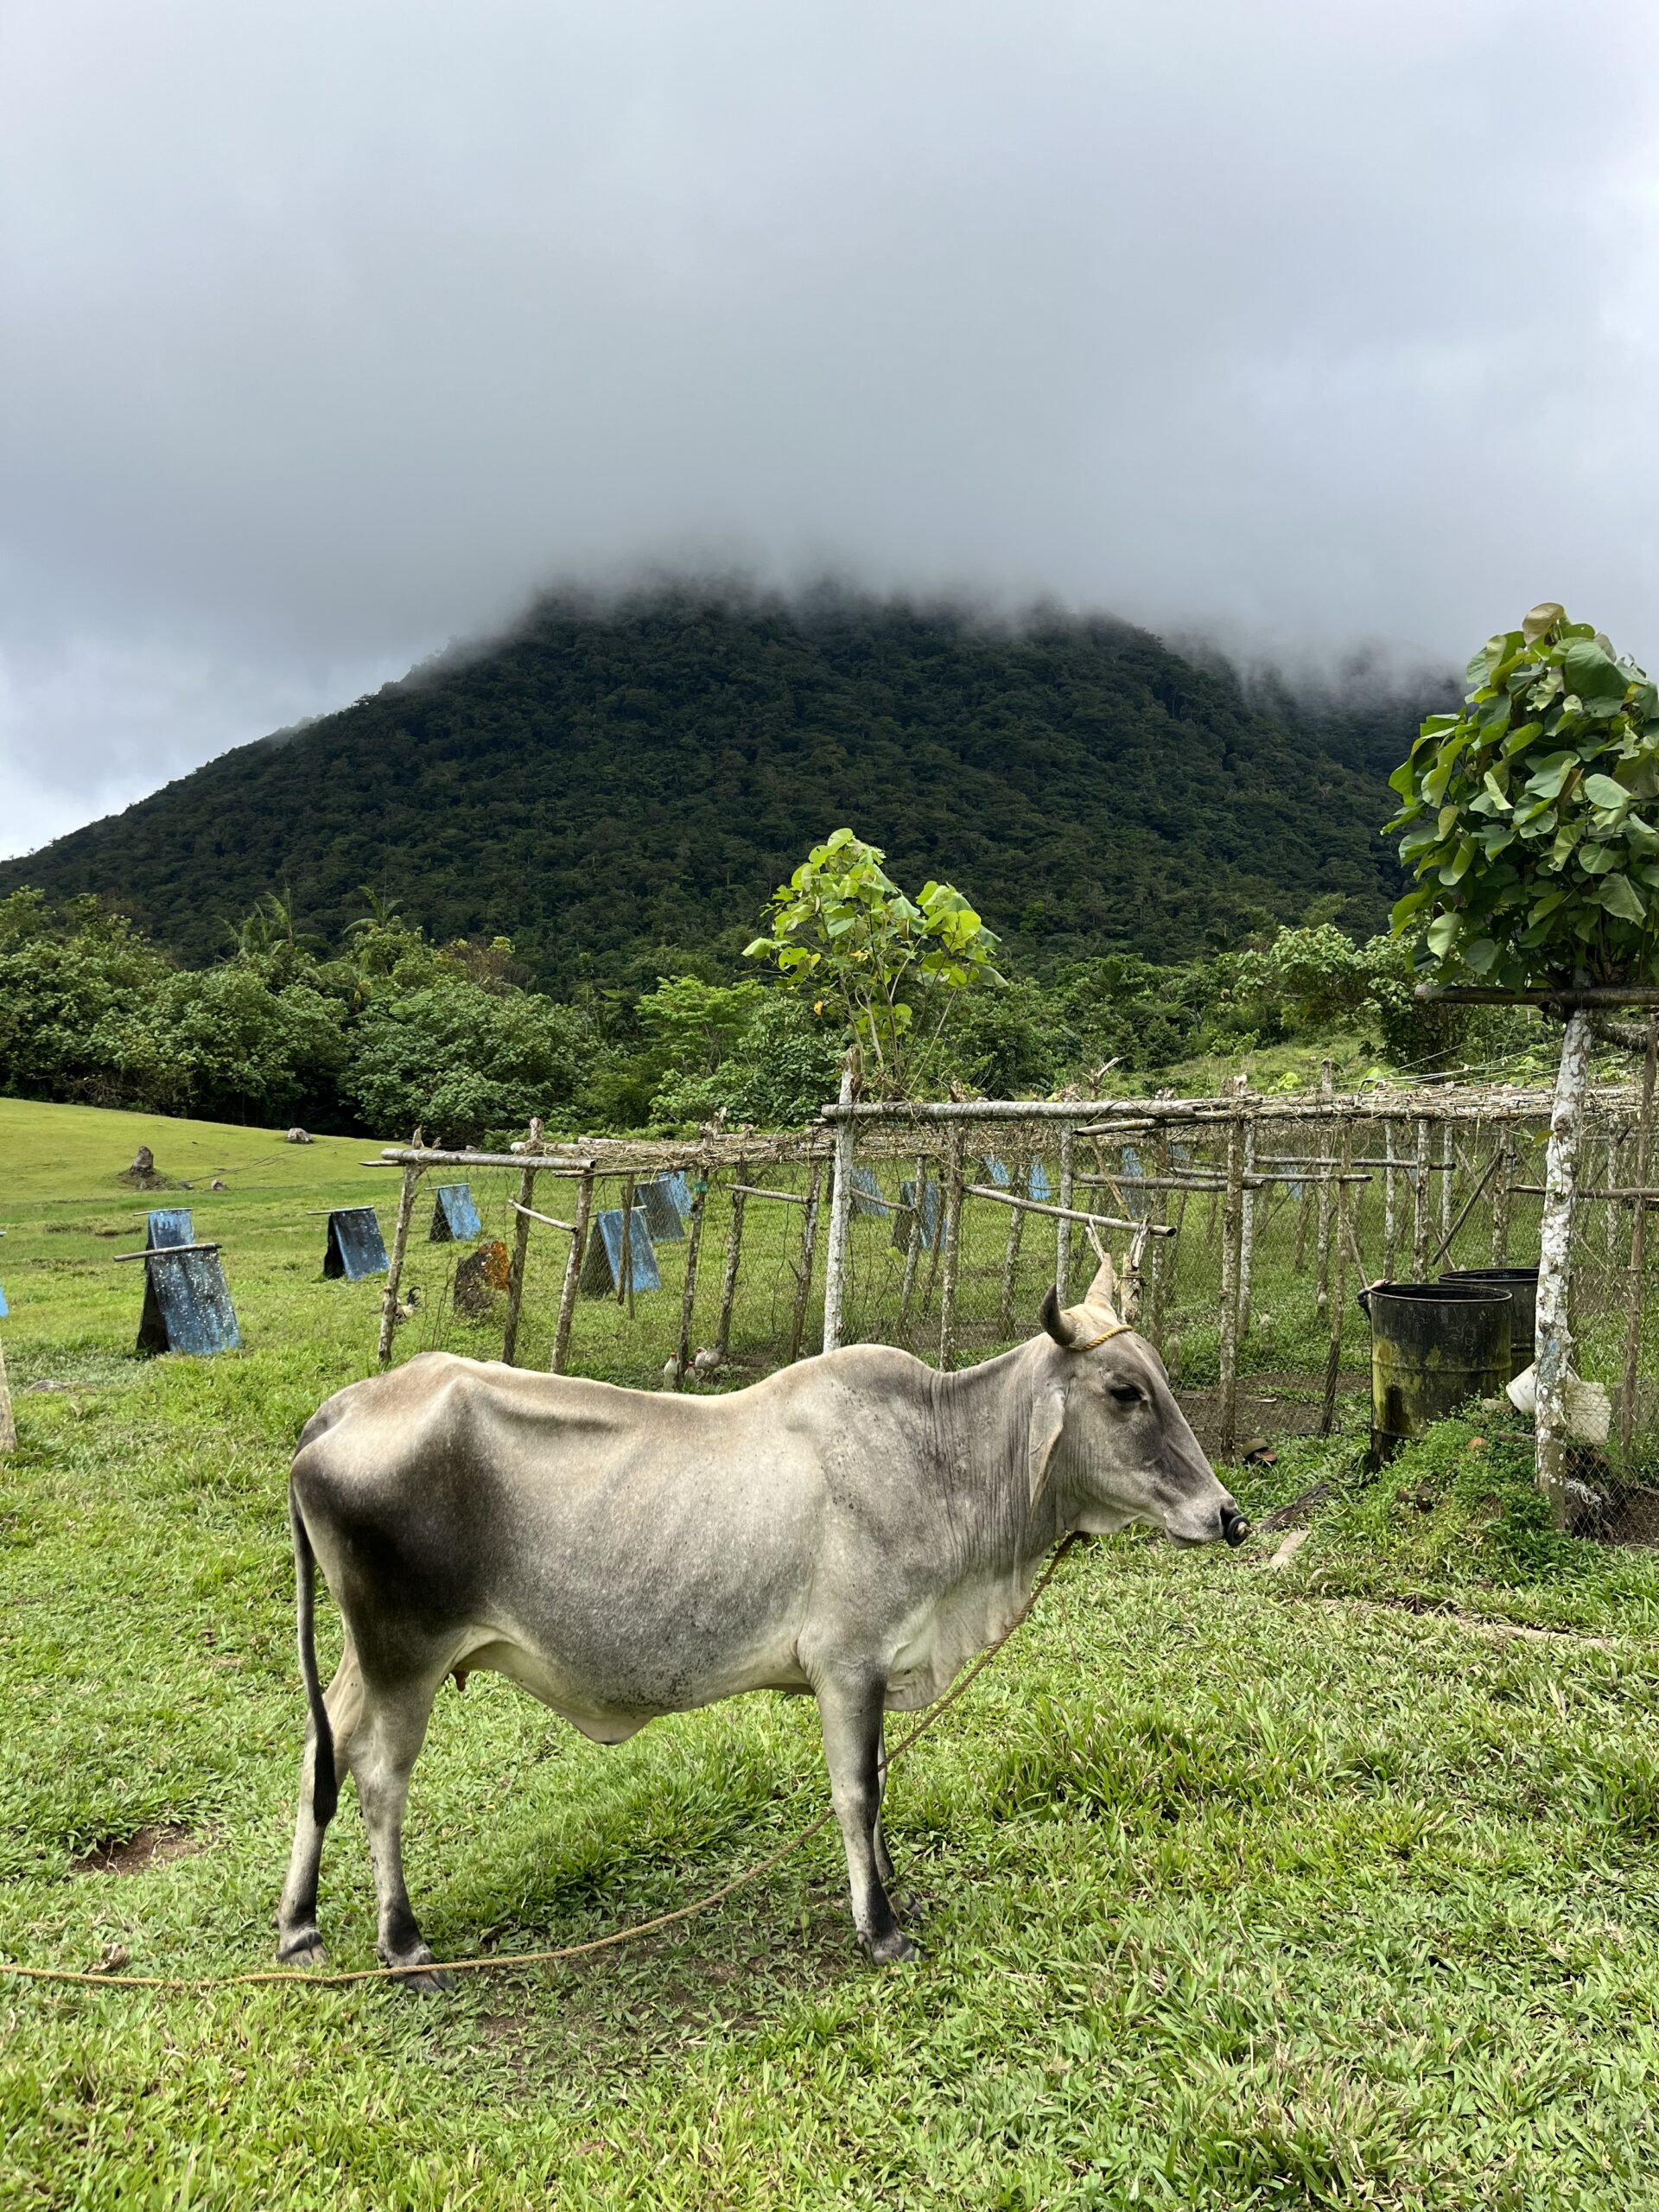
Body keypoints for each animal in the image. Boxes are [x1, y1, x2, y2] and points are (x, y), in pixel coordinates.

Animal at [279, 1265, 1247, 1991]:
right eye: (1125, 1391)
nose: (1229, 1516)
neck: (940, 1458)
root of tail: (344, 1407)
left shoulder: (876, 1666)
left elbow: (880, 1784)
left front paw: (895, 1893)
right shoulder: (847, 1664)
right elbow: (857, 1793)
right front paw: (880, 1929)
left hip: (368, 1659)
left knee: (322, 1751)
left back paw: (300, 1928)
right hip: (406, 1655)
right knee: (378, 1780)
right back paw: (403, 1945)